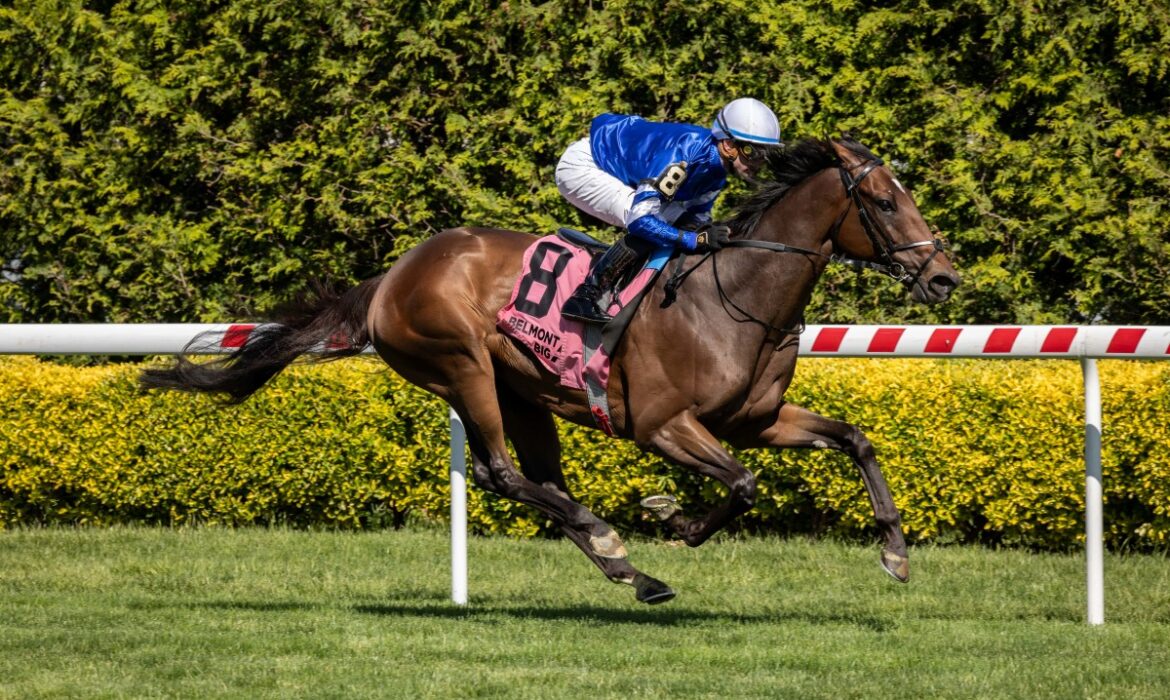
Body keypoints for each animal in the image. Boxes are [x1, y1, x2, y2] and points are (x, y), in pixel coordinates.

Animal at [139, 138, 959, 608]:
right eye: (884, 201)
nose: (944, 277)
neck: (738, 295)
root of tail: (393, 274)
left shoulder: (753, 421)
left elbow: (853, 440)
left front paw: (895, 553)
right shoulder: (662, 426)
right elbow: (742, 485)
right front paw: (676, 519)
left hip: (522, 389)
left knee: (535, 480)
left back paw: (629, 570)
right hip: (459, 366)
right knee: (505, 474)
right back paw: (613, 540)